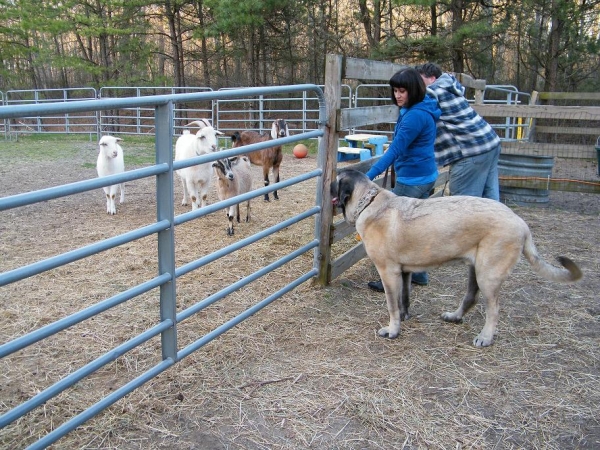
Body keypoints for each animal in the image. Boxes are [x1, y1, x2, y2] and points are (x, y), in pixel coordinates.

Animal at [328, 169, 580, 348]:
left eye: (334, 182)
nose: (325, 187)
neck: (369, 202)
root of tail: (521, 223)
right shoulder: (405, 271)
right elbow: (404, 299)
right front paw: (405, 317)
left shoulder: (388, 272)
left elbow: (392, 305)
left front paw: (392, 330)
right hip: (476, 270)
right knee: (471, 298)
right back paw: (454, 316)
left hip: (488, 274)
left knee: (494, 309)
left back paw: (485, 337)